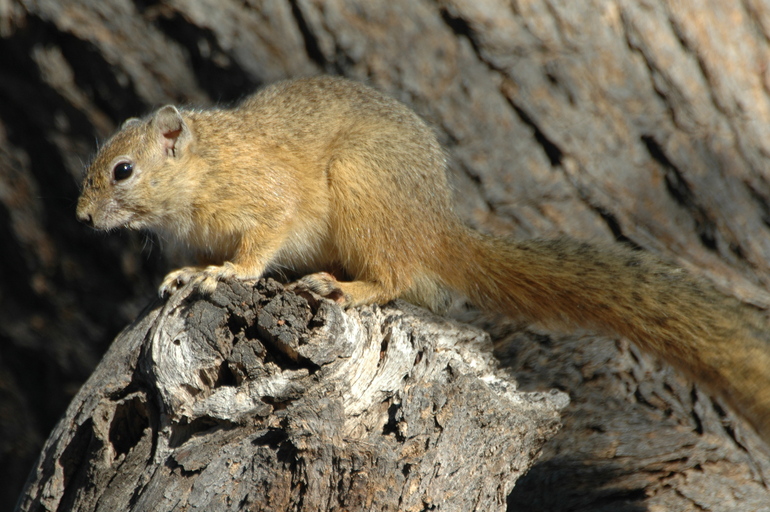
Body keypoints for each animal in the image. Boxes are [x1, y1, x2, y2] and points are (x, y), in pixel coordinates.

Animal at [77, 75, 770, 443]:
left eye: (123, 170)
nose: (82, 218)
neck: (205, 166)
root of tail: (437, 230)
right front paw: (185, 273)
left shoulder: (266, 201)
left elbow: (258, 248)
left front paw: (223, 273)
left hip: (360, 187)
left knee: (397, 277)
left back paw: (348, 288)